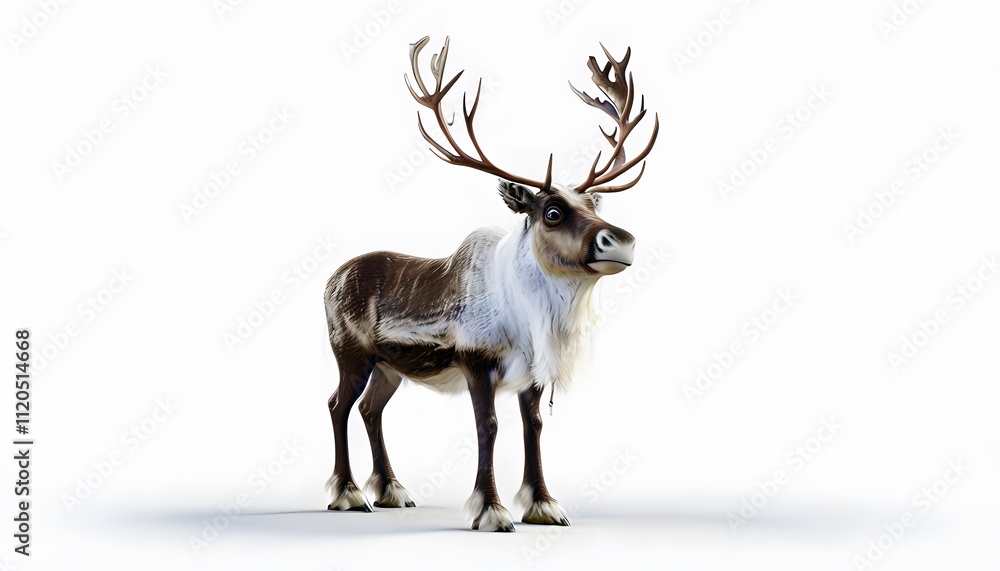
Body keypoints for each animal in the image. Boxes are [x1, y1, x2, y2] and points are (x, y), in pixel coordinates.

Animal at [323, 36, 658, 532]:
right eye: (551, 212)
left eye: (593, 205)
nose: (621, 240)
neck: (532, 318)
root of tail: (331, 278)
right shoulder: (476, 361)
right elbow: (490, 426)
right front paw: (492, 510)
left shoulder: (533, 373)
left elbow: (533, 427)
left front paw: (543, 505)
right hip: (352, 354)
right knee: (338, 405)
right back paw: (348, 494)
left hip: (389, 366)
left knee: (370, 409)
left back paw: (391, 490)